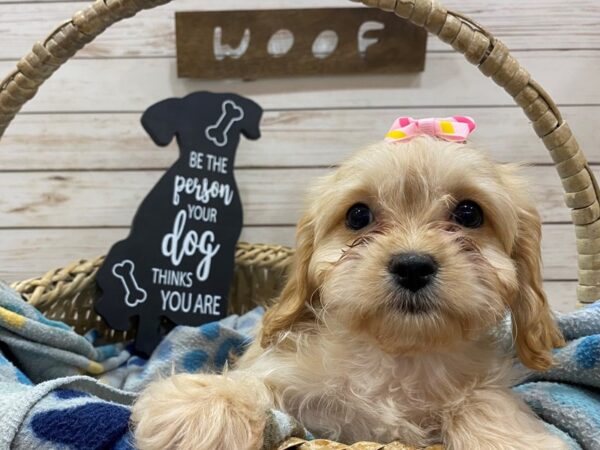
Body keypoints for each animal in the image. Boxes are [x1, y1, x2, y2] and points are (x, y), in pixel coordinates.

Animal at [131, 134, 568, 450]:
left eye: (469, 213)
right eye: (358, 215)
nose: (412, 265)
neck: (398, 356)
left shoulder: (484, 385)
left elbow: (483, 399)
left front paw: (510, 439)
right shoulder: (292, 383)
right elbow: (251, 384)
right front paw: (200, 411)